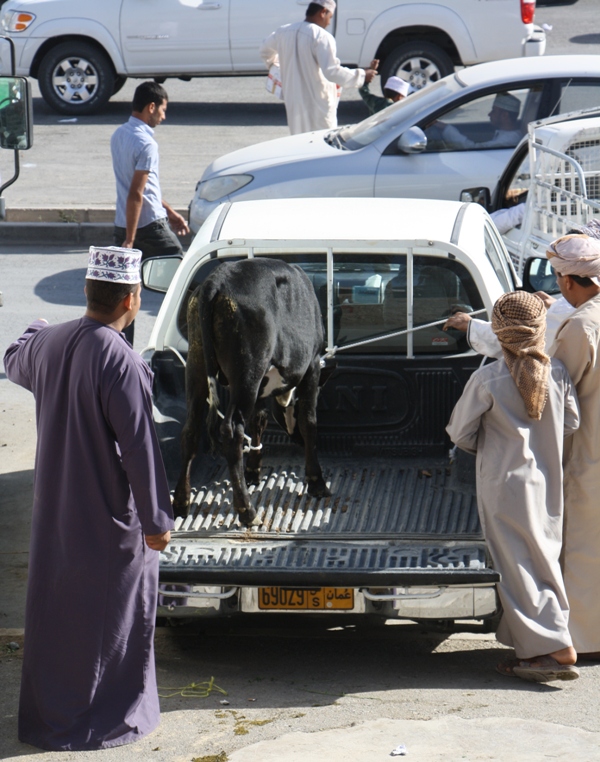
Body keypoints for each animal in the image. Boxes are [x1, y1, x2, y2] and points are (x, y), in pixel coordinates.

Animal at [172, 258, 332, 524]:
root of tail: (217, 279)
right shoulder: (312, 366)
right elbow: (309, 421)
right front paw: (317, 481)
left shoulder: (262, 387)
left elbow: (259, 420)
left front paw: (253, 470)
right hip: (248, 371)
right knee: (232, 431)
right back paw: (247, 510)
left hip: (197, 367)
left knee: (190, 432)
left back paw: (181, 503)